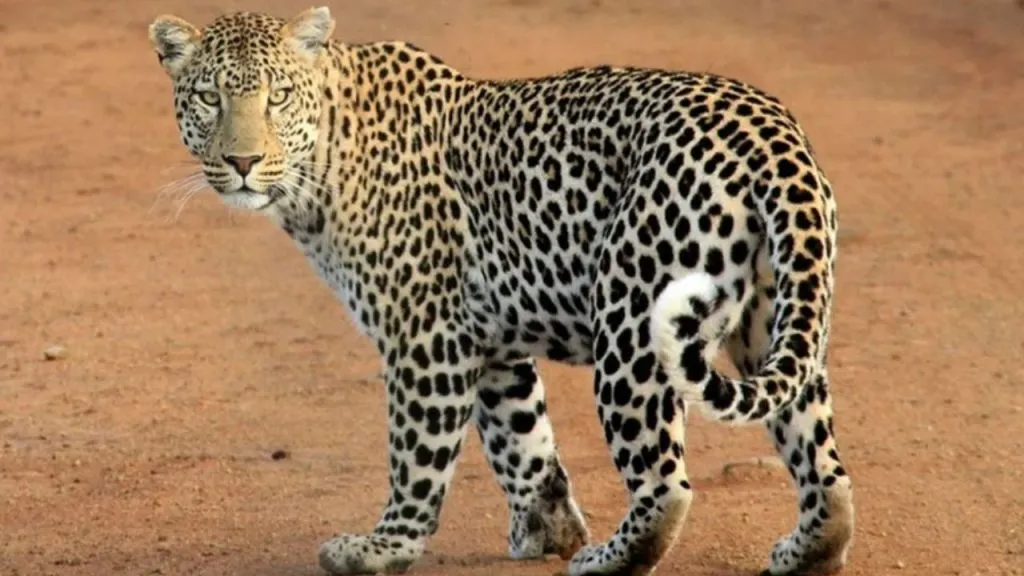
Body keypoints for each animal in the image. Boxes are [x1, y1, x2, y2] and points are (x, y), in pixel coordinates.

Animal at [148, 6, 855, 576]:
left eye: (278, 97)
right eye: (208, 97)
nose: (241, 162)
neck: (323, 160)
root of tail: (772, 134)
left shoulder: (426, 337)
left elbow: (418, 455)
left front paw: (384, 547)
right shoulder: (488, 342)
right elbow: (523, 440)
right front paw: (548, 530)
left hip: (632, 324)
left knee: (665, 485)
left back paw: (609, 560)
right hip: (775, 320)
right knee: (823, 464)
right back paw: (807, 551)